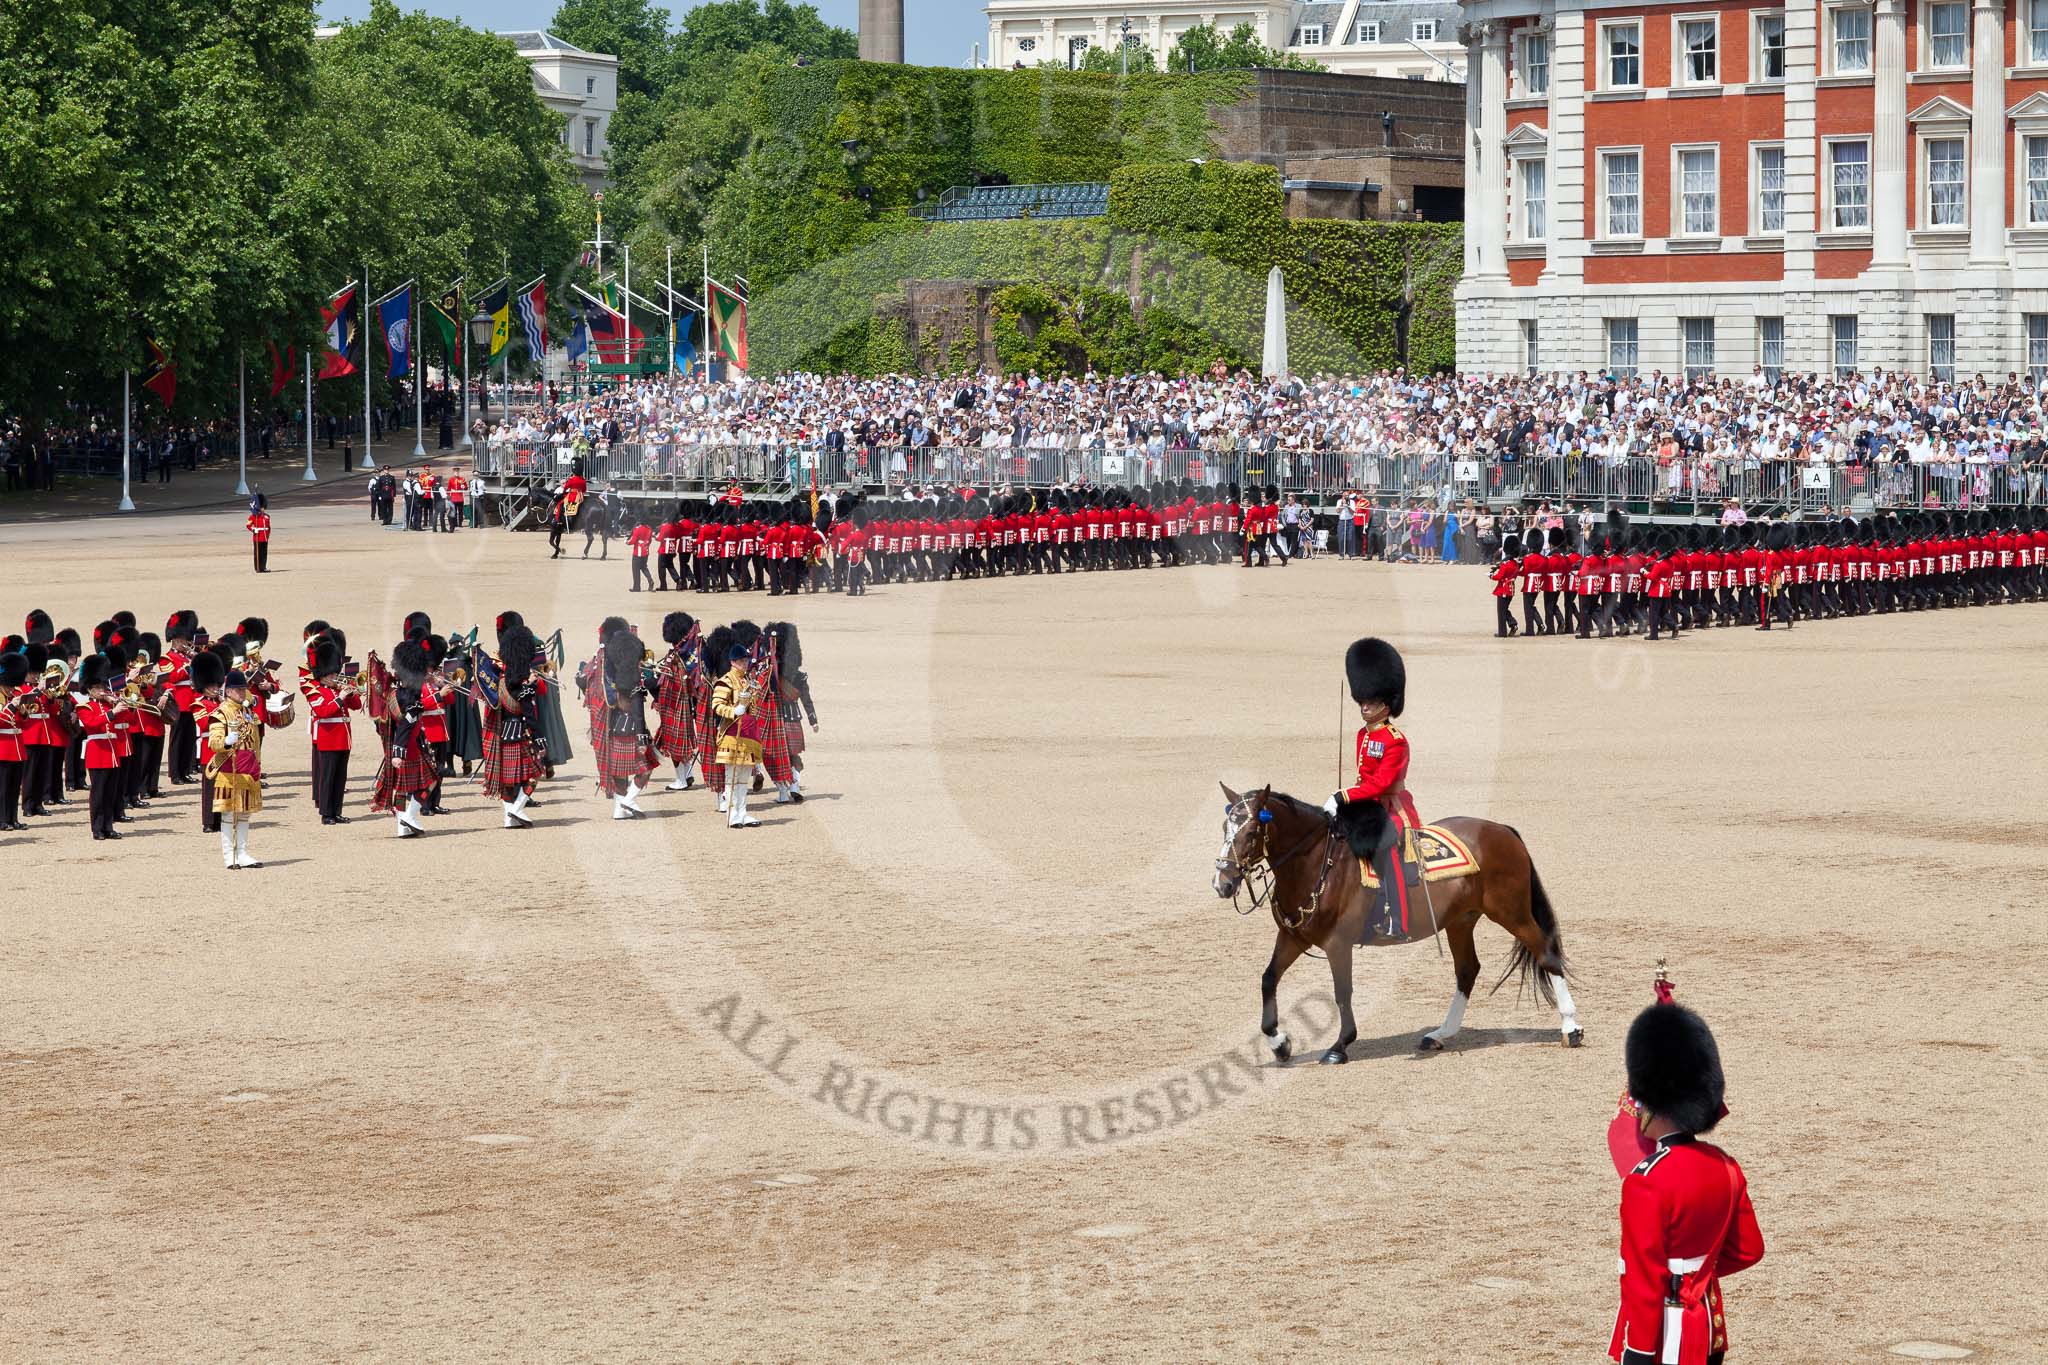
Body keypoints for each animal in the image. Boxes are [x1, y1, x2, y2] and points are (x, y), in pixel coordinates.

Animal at [1212, 789, 1581, 1064]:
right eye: (1224, 829)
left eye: (1251, 832)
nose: (1222, 883)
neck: (1318, 863)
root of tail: (1503, 830)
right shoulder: (1293, 937)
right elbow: (1268, 979)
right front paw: (1279, 1043)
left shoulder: (1337, 943)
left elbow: (1342, 992)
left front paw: (1340, 1046)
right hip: (1460, 921)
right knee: (1467, 970)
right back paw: (1440, 1034)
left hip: (1510, 912)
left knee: (1545, 953)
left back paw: (1571, 1028)